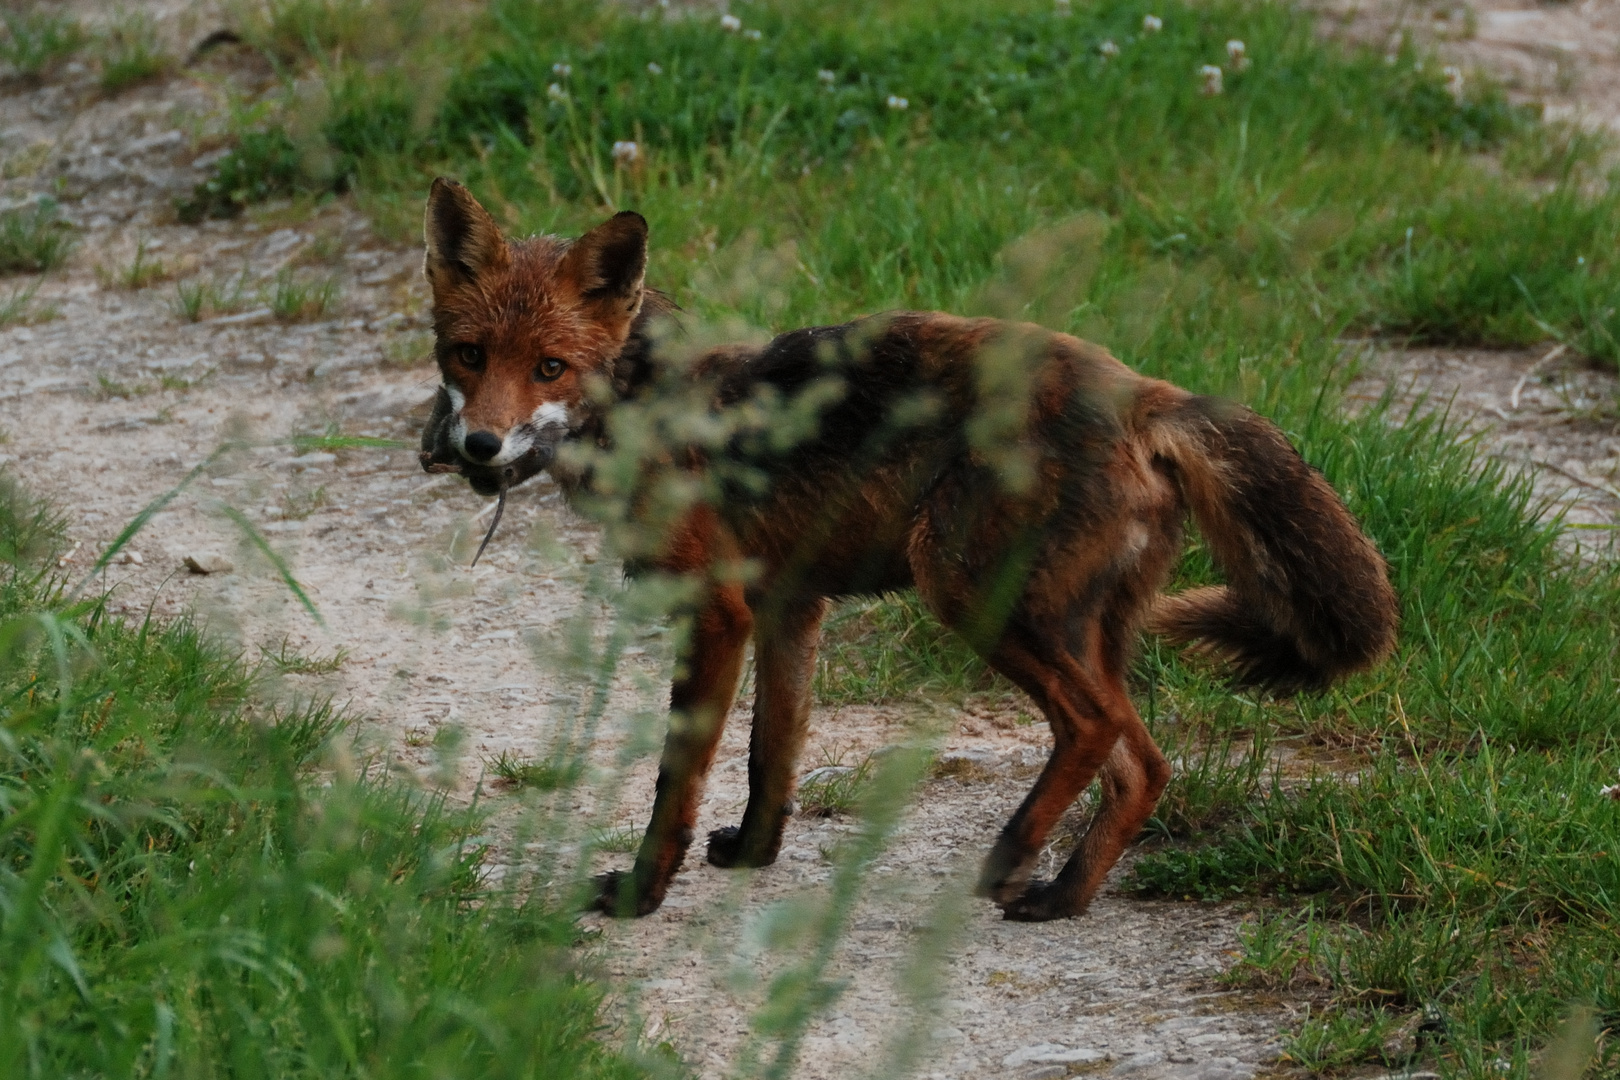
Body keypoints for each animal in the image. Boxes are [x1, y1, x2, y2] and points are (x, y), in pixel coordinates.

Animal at [421, 177, 1406, 919]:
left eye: (549, 367)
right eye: (468, 354)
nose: (478, 445)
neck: (644, 406)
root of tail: (1143, 391)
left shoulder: (719, 610)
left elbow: (676, 781)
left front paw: (640, 893)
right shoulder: (788, 603)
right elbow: (773, 751)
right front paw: (754, 853)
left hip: (967, 589)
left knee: (1094, 730)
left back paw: (1012, 854)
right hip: (1080, 622)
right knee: (1142, 762)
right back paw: (1061, 896)